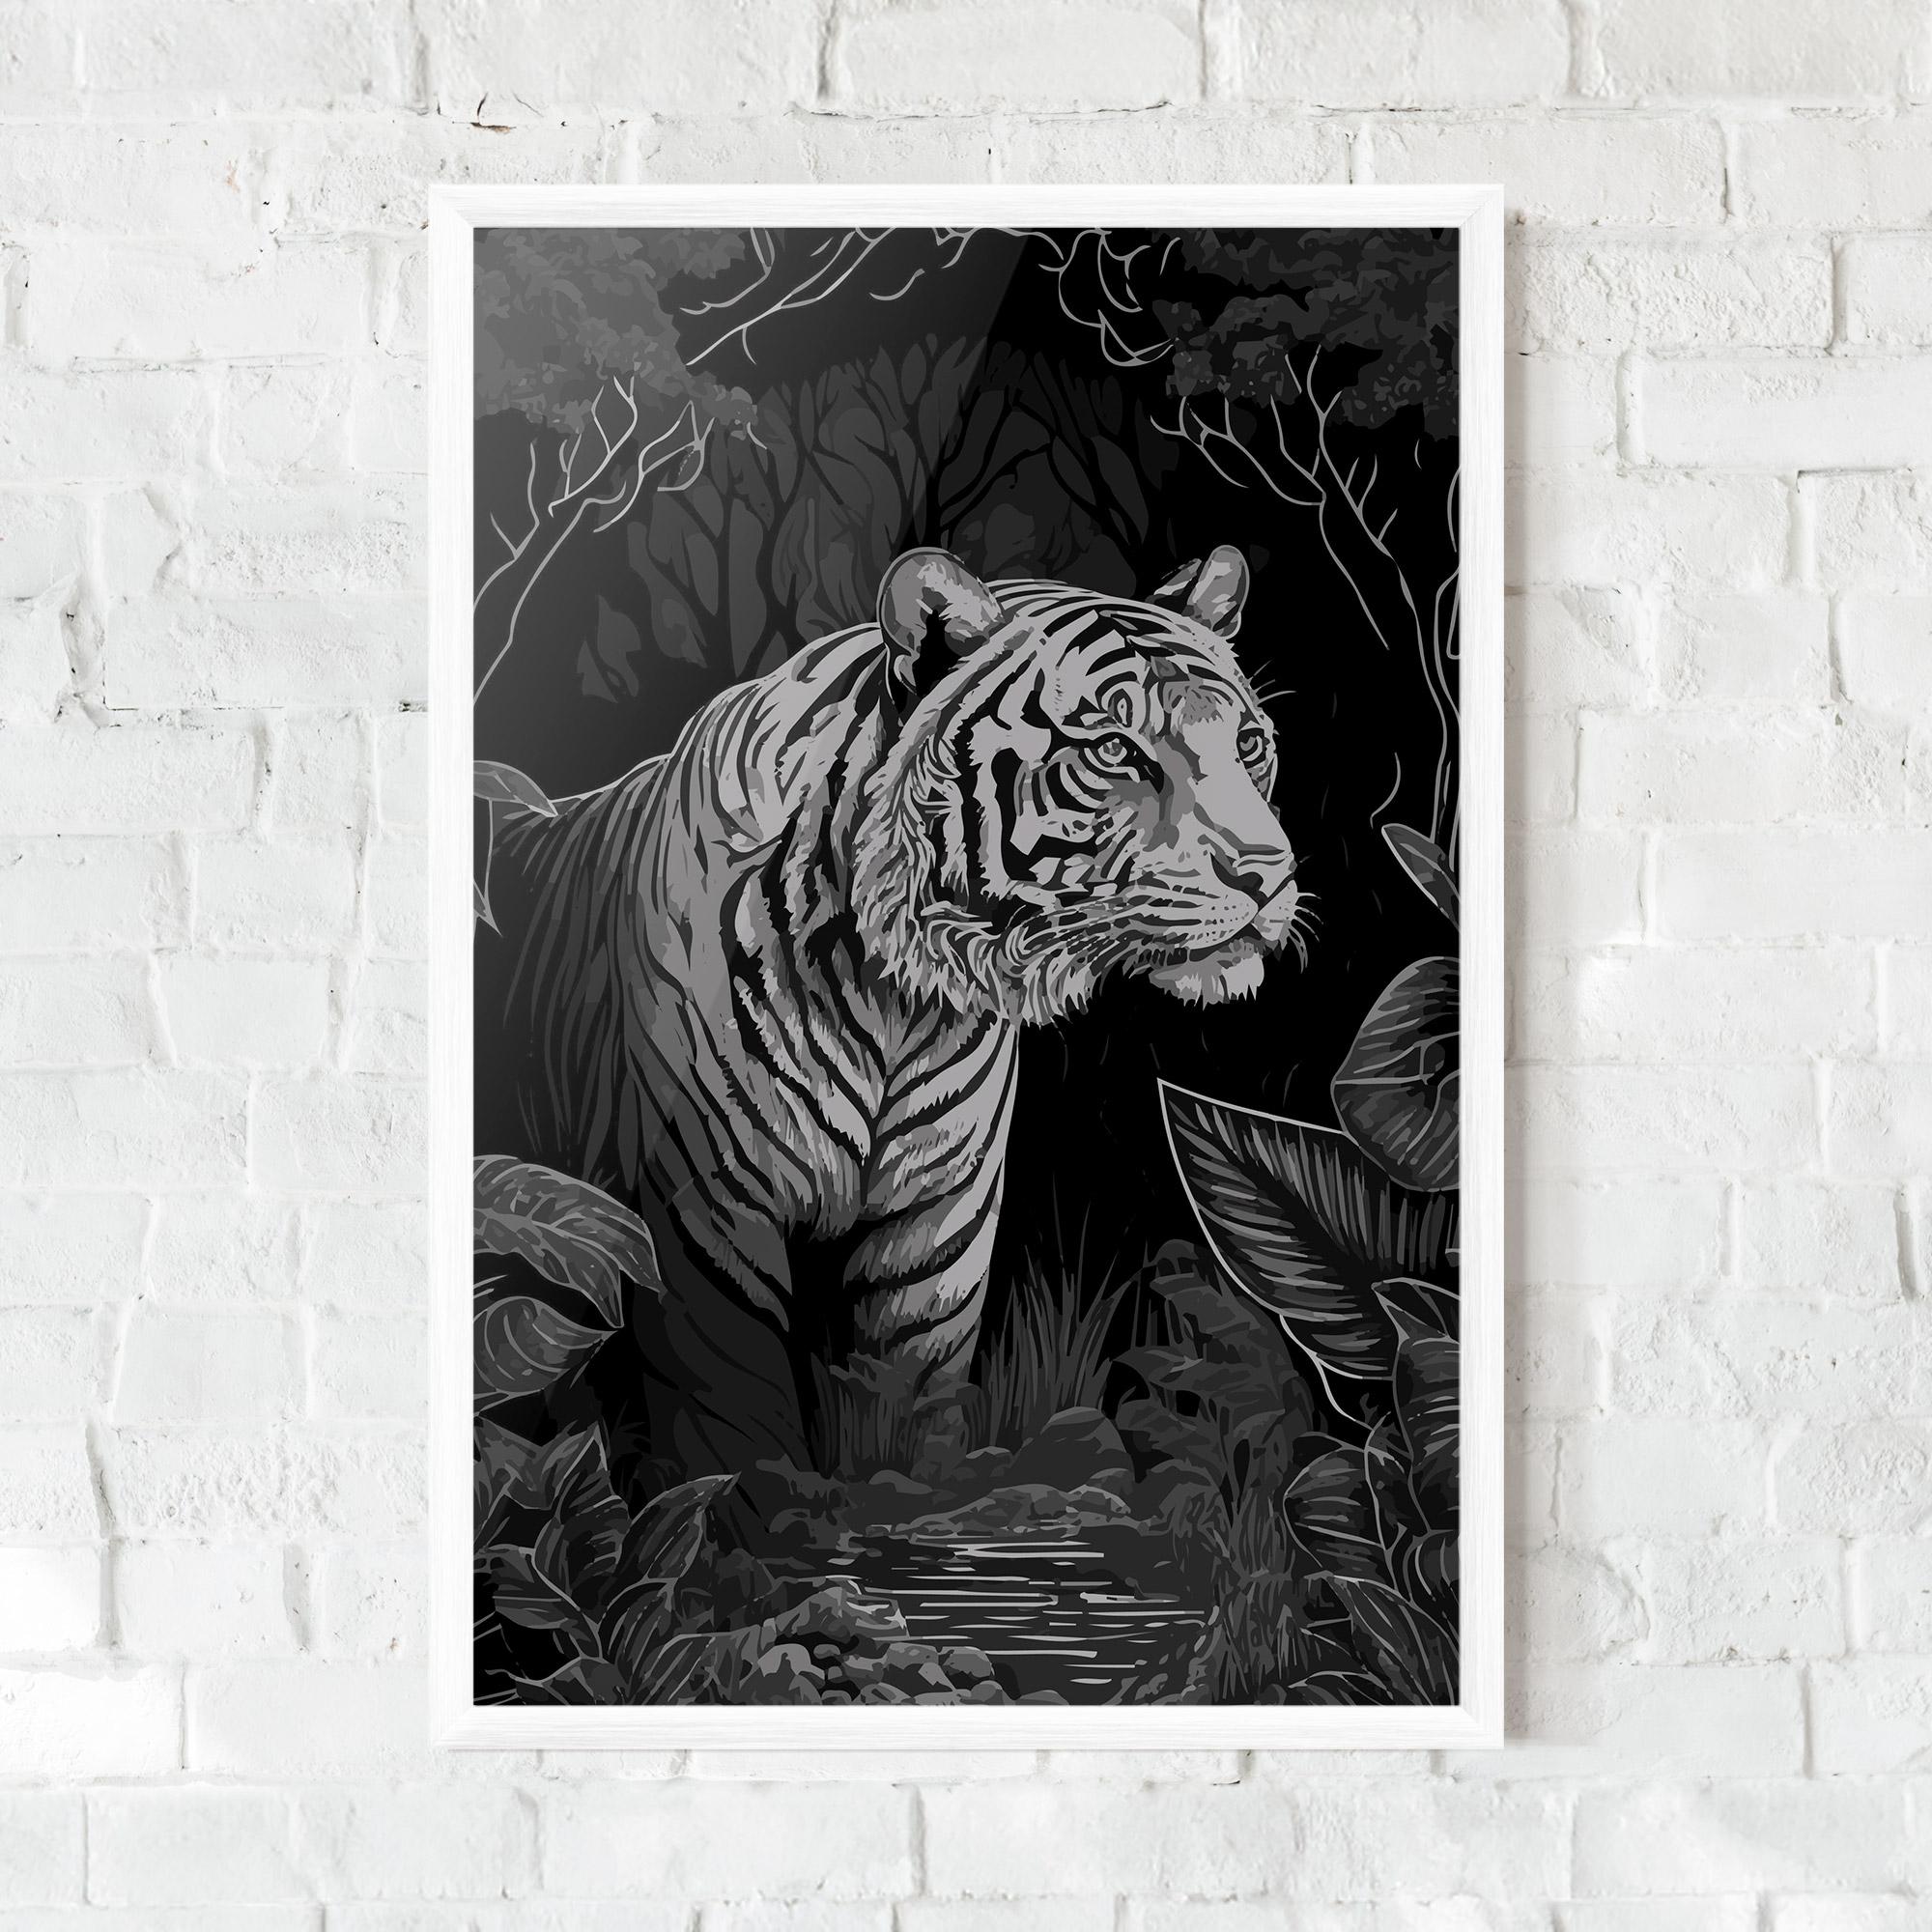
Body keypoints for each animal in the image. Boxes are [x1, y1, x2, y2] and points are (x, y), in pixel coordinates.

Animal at [493, 544, 1303, 1489]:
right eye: (1114, 749)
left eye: (1247, 744)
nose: (1269, 873)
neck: (899, 999)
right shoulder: (705, 1216)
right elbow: (732, 1431)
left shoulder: (938, 1222)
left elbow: (912, 1405)